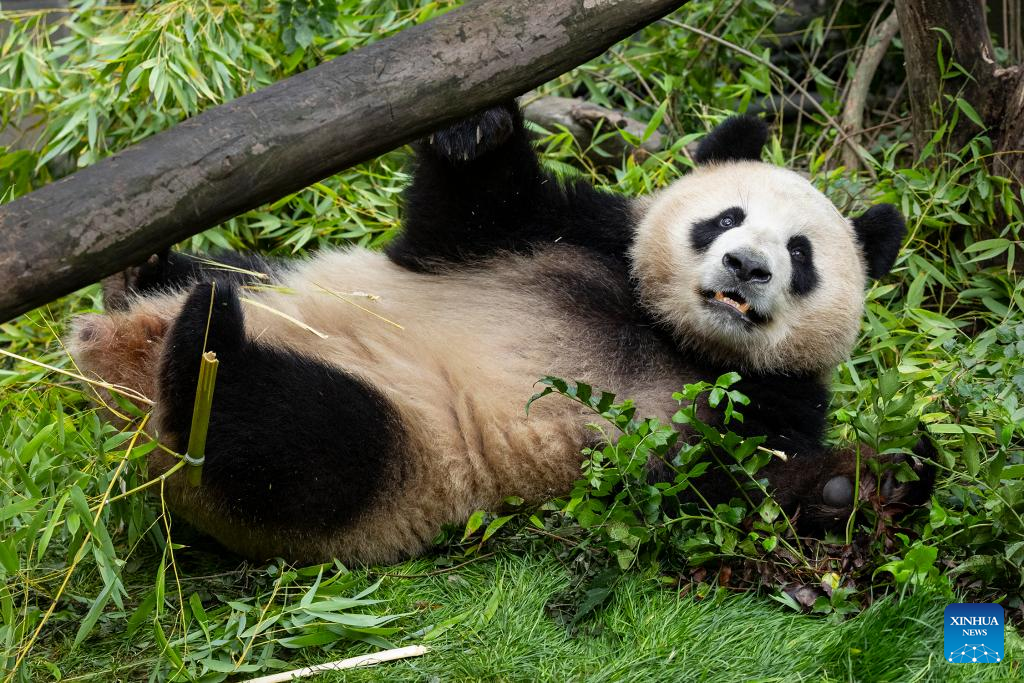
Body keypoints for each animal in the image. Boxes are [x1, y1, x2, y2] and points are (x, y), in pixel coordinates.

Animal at [68, 102, 933, 565]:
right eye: (726, 217)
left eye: (801, 254)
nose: (748, 265)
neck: (671, 334)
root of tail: (118, 368)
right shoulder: (570, 235)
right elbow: (464, 215)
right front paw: (478, 128)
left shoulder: (764, 401)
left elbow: (710, 492)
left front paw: (860, 485)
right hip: (275, 283)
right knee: (225, 282)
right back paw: (145, 275)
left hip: (403, 458)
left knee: (295, 440)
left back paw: (202, 354)